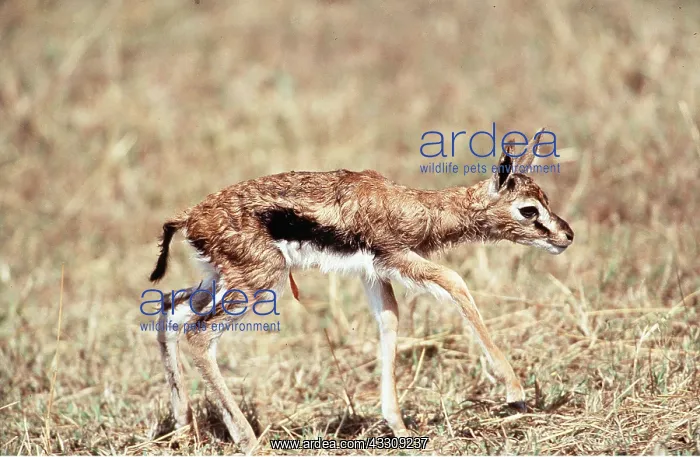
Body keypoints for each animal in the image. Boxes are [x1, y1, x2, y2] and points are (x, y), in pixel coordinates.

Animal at [148, 128, 573, 454]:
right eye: (529, 210)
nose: (566, 235)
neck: (412, 206)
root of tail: (189, 218)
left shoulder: (375, 273)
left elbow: (390, 321)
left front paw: (399, 427)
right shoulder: (400, 258)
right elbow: (458, 283)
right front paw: (515, 392)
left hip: (219, 280)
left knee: (170, 311)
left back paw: (183, 429)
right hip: (258, 283)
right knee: (198, 334)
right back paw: (249, 441)